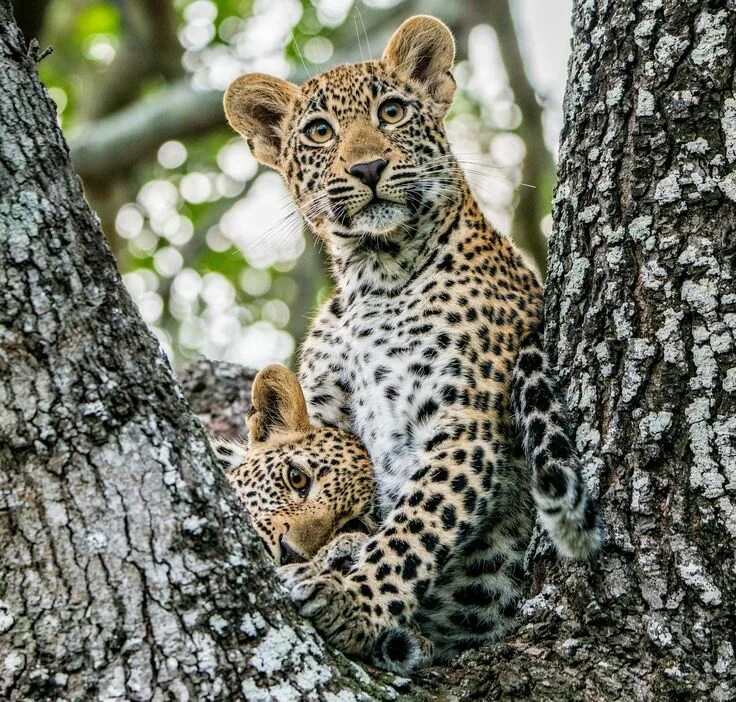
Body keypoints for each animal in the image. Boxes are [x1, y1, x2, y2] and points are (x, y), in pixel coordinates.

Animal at [223, 12, 600, 672]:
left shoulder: (462, 423)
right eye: (320, 132)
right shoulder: (329, 411)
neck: (372, 277)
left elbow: (411, 531)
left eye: (393, 112)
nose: (368, 169)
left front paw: (355, 604)